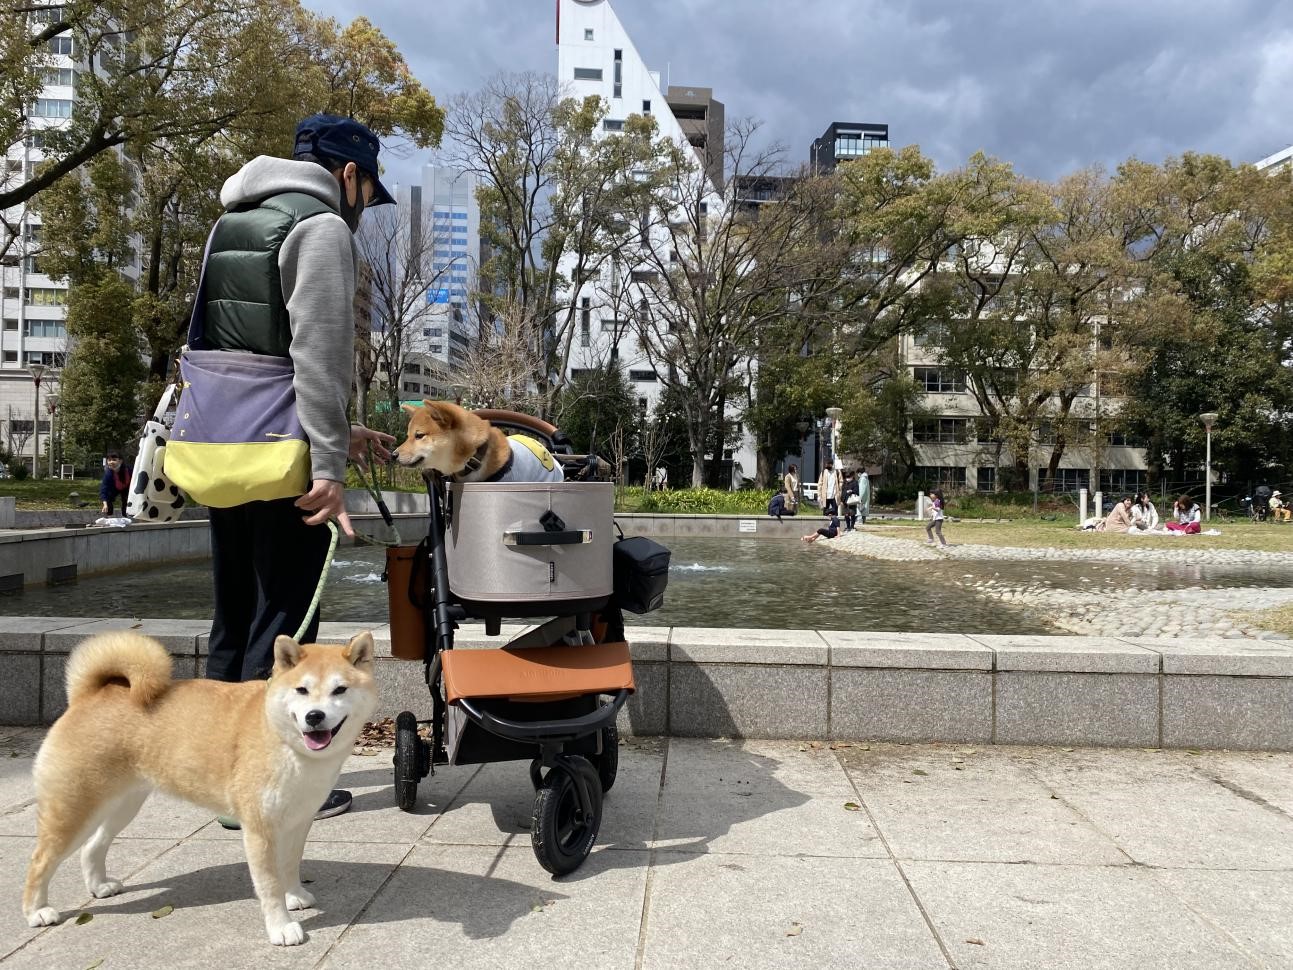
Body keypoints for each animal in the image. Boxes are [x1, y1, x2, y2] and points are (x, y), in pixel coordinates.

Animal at [22, 631, 377, 951]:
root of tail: (88, 696)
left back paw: (99, 886)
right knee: (40, 860)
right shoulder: (260, 829)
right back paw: (37, 911)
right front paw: (281, 927)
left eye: (339, 689)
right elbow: (269, 885)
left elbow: (289, 866)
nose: (314, 716)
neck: (284, 740)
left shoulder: (298, 820)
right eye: (302, 689)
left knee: (93, 846)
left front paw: (295, 895)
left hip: (123, 803)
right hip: (74, 808)